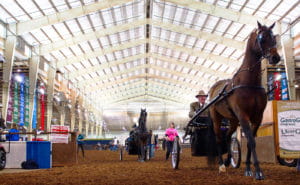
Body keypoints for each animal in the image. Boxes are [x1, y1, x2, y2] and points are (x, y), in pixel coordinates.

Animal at [207, 21, 280, 179]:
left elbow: (249, 142)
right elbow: (251, 141)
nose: (275, 58)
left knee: (228, 136)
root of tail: (213, 90)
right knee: (219, 138)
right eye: (261, 38)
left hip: (233, 120)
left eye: (274, 38)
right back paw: (221, 165)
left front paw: (247, 169)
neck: (249, 83)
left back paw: (229, 160)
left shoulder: (257, 117)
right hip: (217, 118)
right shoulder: (243, 116)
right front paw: (258, 171)